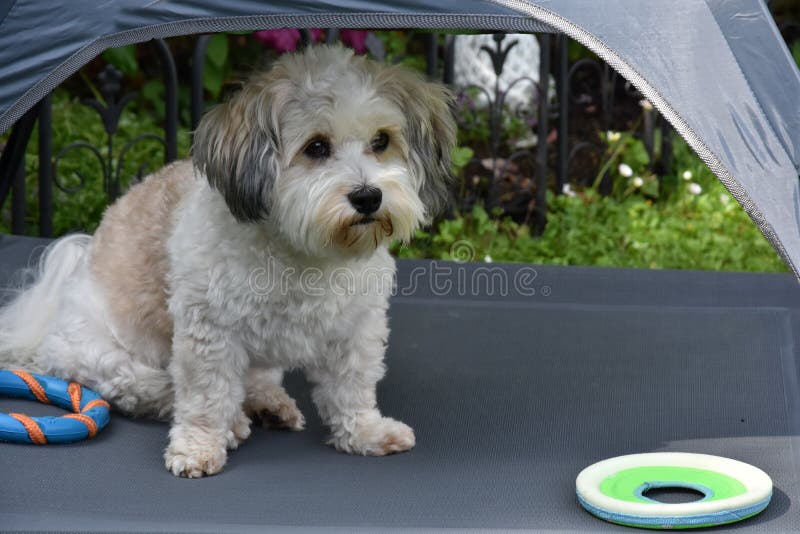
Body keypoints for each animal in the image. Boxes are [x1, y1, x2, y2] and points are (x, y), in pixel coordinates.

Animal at [0, 46, 454, 480]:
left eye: (381, 141)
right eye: (316, 147)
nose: (368, 196)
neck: (302, 253)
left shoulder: (356, 329)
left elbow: (352, 386)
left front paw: (366, 432)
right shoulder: (209, 333)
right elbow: (205, 397)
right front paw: (199, 447)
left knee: (254, 379)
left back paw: (268, 402)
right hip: (99, 354)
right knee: (145, 386)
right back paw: (225, 417)